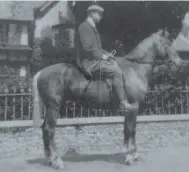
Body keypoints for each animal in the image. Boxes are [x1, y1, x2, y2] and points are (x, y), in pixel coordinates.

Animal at [32, 29, 182, 168]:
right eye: (168, 43)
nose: (179, 62)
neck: (135, 68)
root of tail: (42, 72)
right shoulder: (133, 106)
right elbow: (128, 130)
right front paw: (128, 156)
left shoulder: (134, 108)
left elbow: (132, 130)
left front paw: (134, 155)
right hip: (53, 106)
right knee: (50, 129)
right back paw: (57, 161)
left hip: (50, 107)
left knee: (45, 129)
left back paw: (50, 159)